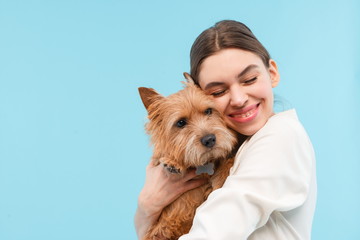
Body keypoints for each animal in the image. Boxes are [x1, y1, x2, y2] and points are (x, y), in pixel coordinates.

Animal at [138, 74, 242, 240]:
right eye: (181, 122)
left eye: (208, 111)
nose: (209, 139)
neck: (203, 165)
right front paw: (173, 162)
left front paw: (222, 173)